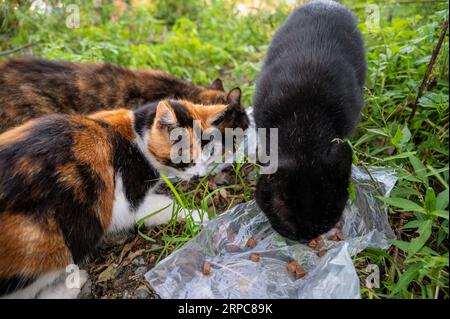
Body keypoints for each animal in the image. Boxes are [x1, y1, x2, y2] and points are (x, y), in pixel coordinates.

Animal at [1, 96, 236, 298]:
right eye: (186, 159)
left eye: (207, 153)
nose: (199, 175)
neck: (137, 136)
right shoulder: (126, 202)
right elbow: (165, 205)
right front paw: (197, 215)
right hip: (53, 244)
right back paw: (72, 283)